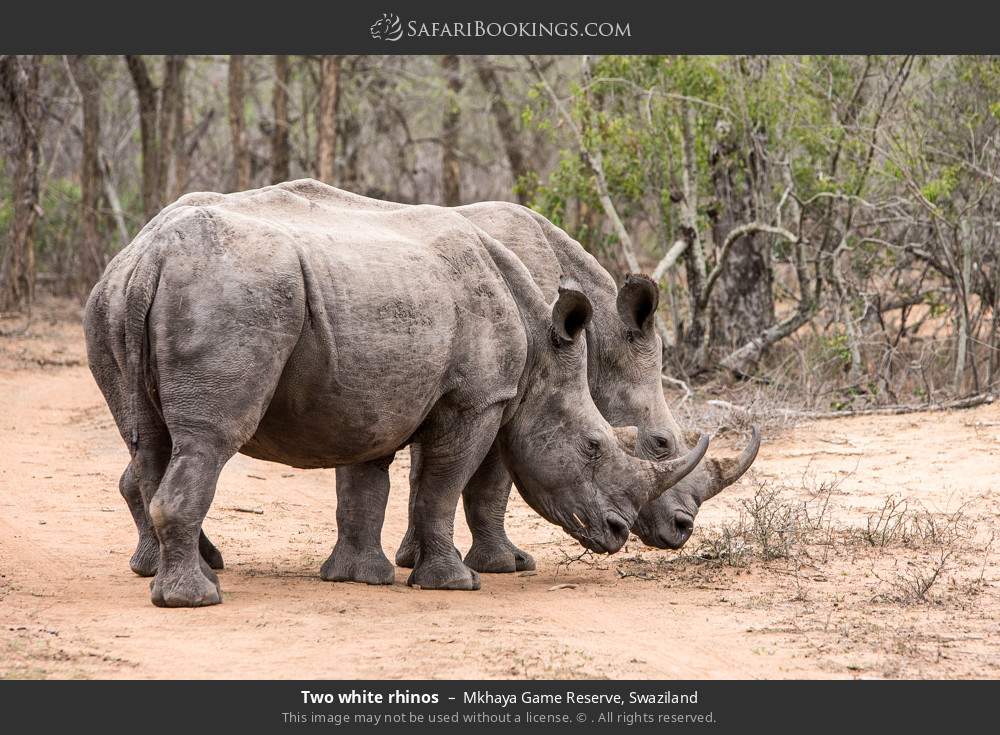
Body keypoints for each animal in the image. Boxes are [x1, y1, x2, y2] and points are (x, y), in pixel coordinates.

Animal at [84, 180, 708, 606]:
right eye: (604, 446)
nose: (636, 531)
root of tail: (150, 255)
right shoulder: (485, 397)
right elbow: (458, 486)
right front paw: (472, 576)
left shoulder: (373, 391)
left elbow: (369, 486)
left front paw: (366, 575)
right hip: (232, 296)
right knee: (209, 439)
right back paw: (196, 596)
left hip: (115, 298)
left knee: (148, 440)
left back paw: (174, 573)